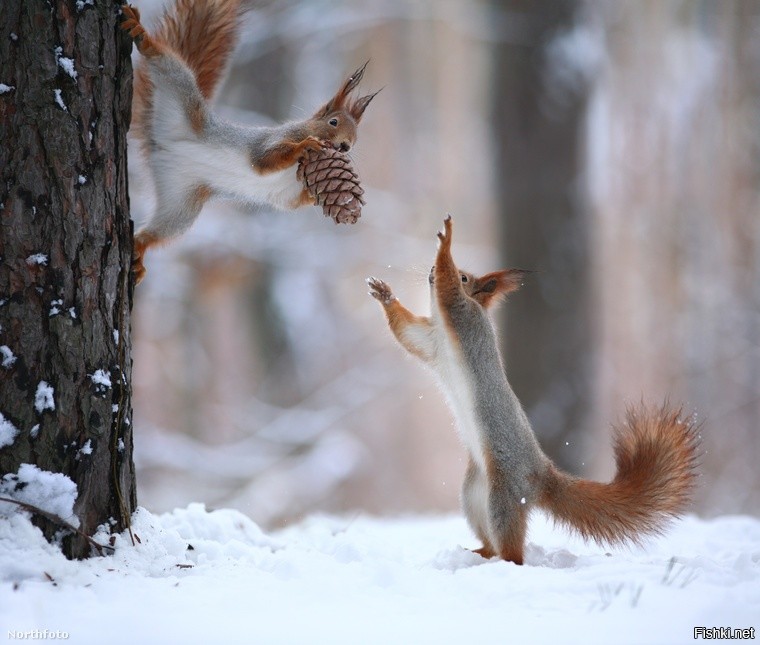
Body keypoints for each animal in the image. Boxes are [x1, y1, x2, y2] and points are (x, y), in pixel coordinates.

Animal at [120, 0, 378, 282]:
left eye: (356, 138)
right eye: (333, 122)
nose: (345, 146)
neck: (294, 171)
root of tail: (160, 145)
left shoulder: (287, 192)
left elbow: (290, 202)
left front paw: (314, 195)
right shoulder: (270, 141)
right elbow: (265, 160)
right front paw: (305, 146)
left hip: (181, 203)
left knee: (159, 231)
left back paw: (140, 249)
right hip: (181, 94)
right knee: (166, 64)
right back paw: (142, 35)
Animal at [368, 216, 700, 564]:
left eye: (465, 276)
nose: (430, 271)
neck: (444, 330)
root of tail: (542, 476)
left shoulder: (462, 314)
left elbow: (449, 292)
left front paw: (446, 241)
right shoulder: (430, 342)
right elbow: (407, 333)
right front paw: (384, 293)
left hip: (503, 494)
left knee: (513, 549)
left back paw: (504, 561)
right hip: (473, 495)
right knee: (491, 539)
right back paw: (479, 553)